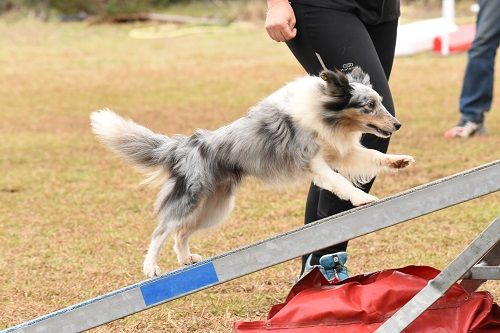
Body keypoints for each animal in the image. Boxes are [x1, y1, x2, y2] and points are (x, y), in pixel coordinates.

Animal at [90, 66, 414, 276]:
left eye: (379, 102)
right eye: (368, 105)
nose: (398, 124)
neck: (326, 114)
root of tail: (185, 146)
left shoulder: (342, 153)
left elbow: (372, 156)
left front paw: (398, 160)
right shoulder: (314, 162)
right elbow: (339, 182)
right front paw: (363, 200)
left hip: (215, 207)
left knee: (181, 232)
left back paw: (187, 259)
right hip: (191, 199)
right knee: (161, 230)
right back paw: (151, 267)